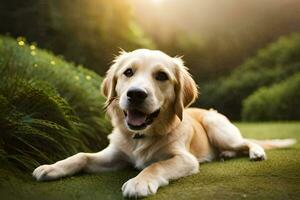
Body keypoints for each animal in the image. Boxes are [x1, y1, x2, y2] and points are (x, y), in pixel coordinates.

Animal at [32, 49, 296, 198]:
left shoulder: (185, 159)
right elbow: (82, 156)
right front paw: (52, 167)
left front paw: (139, 182)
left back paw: (255, 153)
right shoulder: (115, 155)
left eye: (161, 76)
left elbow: (155, 166)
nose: (136, 94)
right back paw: (225, 155)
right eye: (128, 72)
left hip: (217, 126)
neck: (142, 136)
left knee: (246, 142)